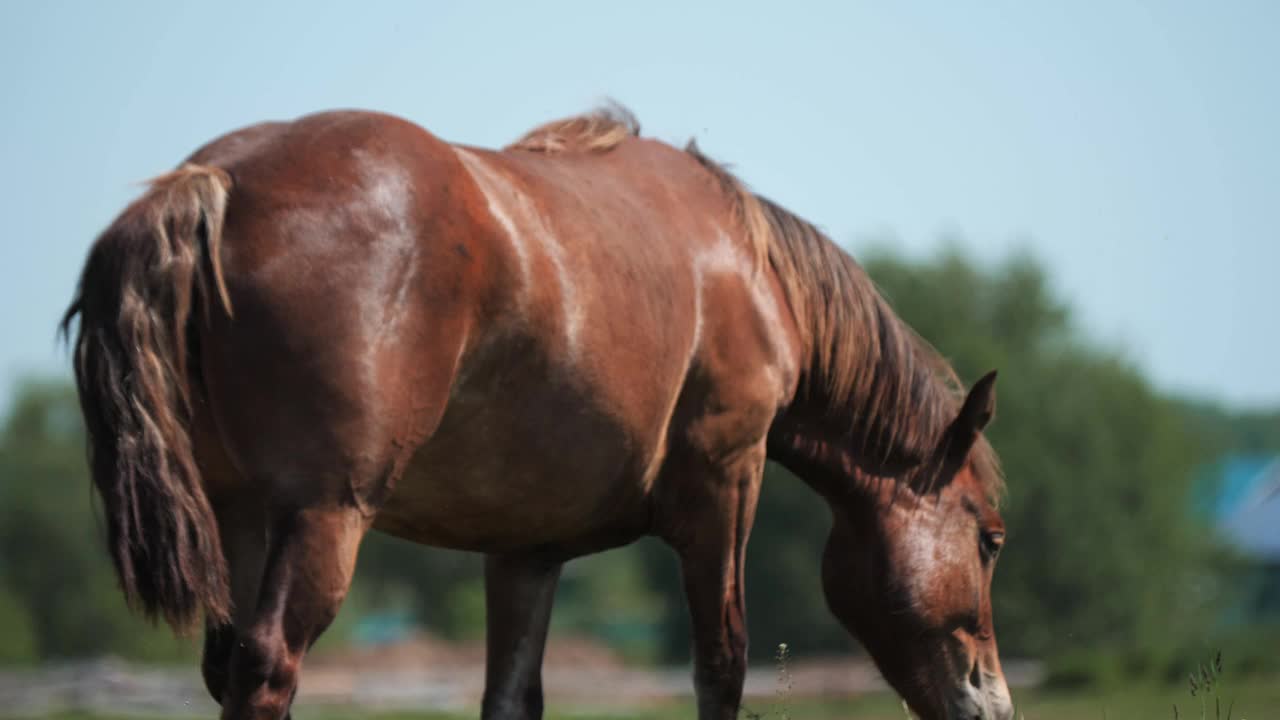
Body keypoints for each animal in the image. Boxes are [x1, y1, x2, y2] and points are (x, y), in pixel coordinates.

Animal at [62, 103, 1008, 712]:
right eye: (992, 540)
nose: (992, 700)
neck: (748, 270)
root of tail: (213, 182)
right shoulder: (726, 485)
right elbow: (721, 665)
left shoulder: (525, 550)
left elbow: (513, 695)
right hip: (322, 516)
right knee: (267, 667)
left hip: (240, 516)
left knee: (229, 666)